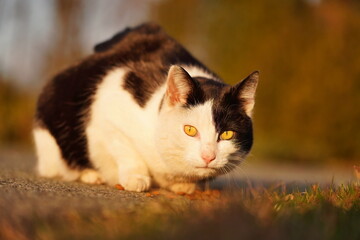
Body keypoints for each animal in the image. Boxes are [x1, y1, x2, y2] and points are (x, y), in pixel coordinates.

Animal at [33, 23, 258, 194]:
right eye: (190, 130)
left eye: (227, 134)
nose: (208, 156)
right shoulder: (109, 105)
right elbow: (125, 149)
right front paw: (136, 178)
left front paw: (184, 186)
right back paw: (90, 174)